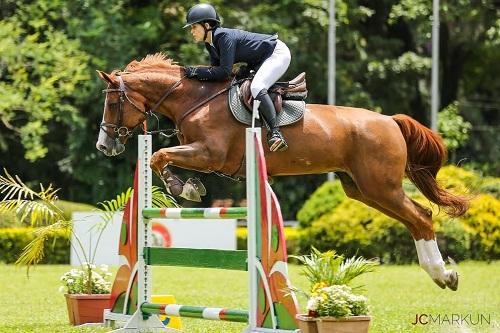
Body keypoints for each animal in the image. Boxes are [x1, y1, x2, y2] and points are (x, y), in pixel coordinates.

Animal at [94, 53, 468, 290]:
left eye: (112, 103)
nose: (104, 146)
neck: (194, 99)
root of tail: (390, 120)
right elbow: (161, 157)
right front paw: (189, 186)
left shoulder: (209, 154)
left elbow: (158, 156)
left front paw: (182, 188)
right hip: (362, 189)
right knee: (414, 219)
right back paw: (441, 275)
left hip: (381, 186)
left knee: (421, 217)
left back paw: (442, 275)